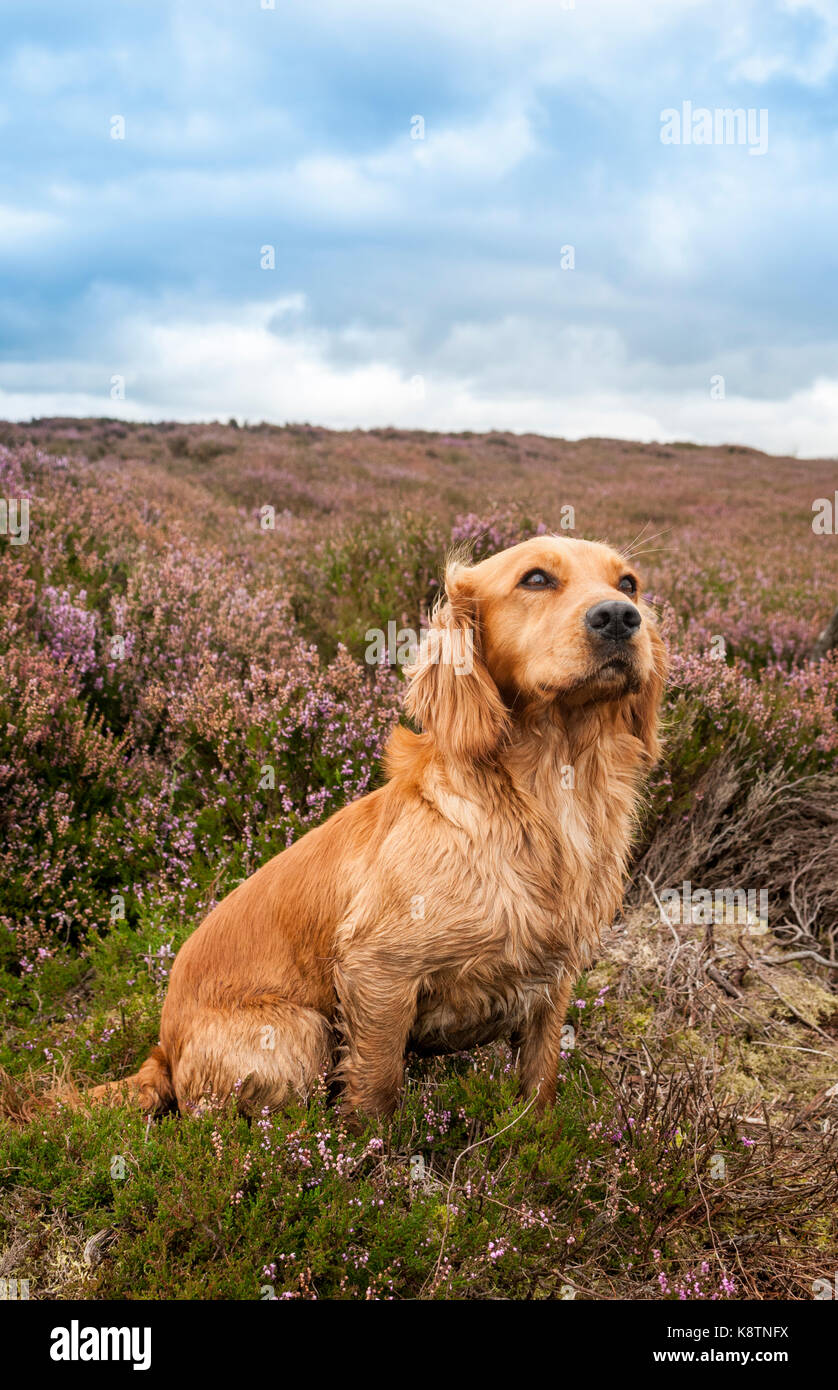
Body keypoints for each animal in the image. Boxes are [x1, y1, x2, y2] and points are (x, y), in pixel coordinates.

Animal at [95, 530, 664, 1117]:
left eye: (629, 584)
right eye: (535, 578)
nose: (619, 617)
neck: (550, 791)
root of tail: (163, 1050)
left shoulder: (553, 984)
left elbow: (540, 1080)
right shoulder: (377, 969)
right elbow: (377, 1087)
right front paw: (369, 1142)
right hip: (300, 1032)